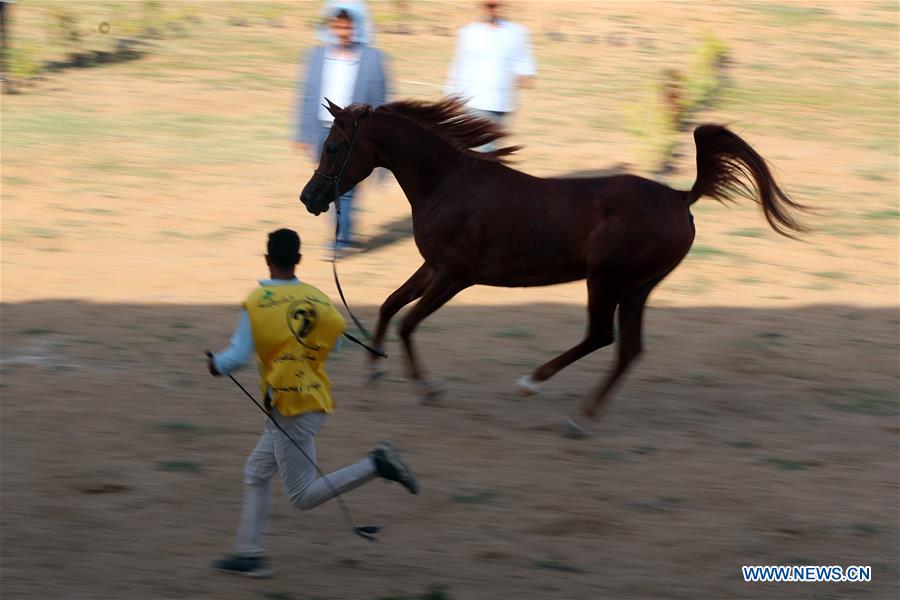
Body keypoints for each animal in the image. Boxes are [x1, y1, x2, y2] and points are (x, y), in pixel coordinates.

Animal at [299, 97, 804, 421]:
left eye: (335, 146)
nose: (309, 198)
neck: (449, 184)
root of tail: (681, 197)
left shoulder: (456, 275)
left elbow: (407, 321)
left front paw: (428, 388)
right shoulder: (434, 266)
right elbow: (389, 305)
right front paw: (374, 372)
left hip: (606, 280)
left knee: (601, 336)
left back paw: (533, 384)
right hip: (638, 287)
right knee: (628, 348)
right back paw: (584, 415)